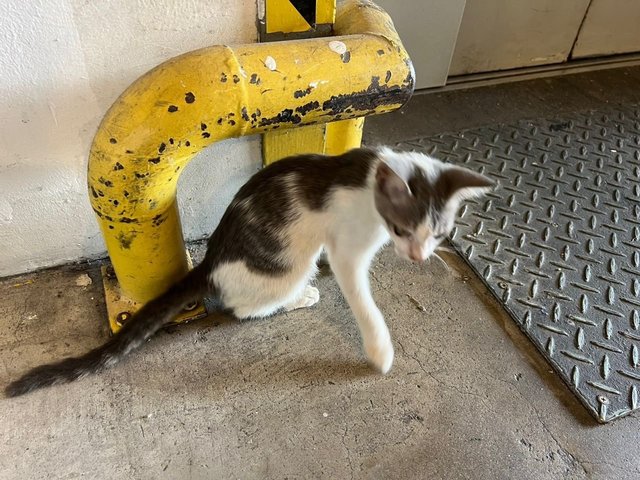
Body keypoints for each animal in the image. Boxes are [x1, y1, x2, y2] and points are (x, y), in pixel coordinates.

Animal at [5, 146, 492, 398]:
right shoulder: (347, 250)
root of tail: (210, 261)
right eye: (403, 229)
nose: (418, 257)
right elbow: (363, 301)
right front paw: (380, 351)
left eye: (440, 233)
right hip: (286, 266)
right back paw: (299, 296)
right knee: (242, 307)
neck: (371, 179)